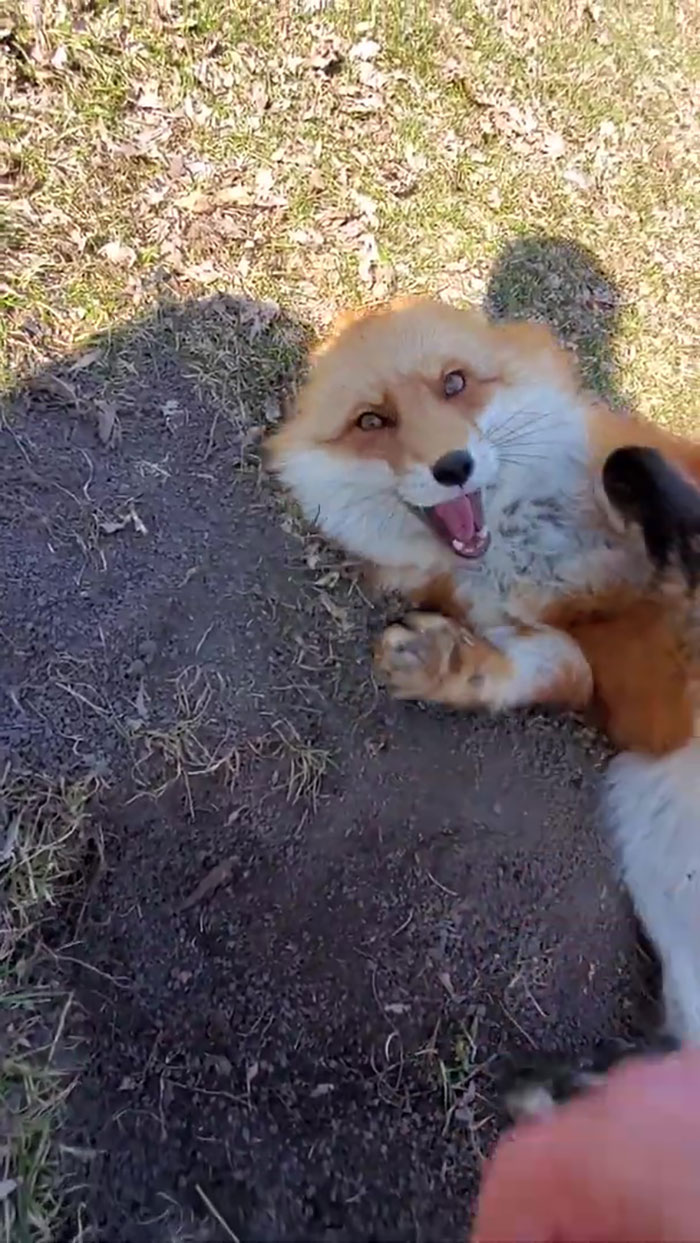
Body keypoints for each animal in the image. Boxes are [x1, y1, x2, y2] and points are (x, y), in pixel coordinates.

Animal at [267, 296, 700, 1045]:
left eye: (455, 383)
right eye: (372, 422)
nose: (453, 465)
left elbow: (637, 463)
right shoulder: (588, 675)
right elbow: (558, 668)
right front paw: (453, 665)